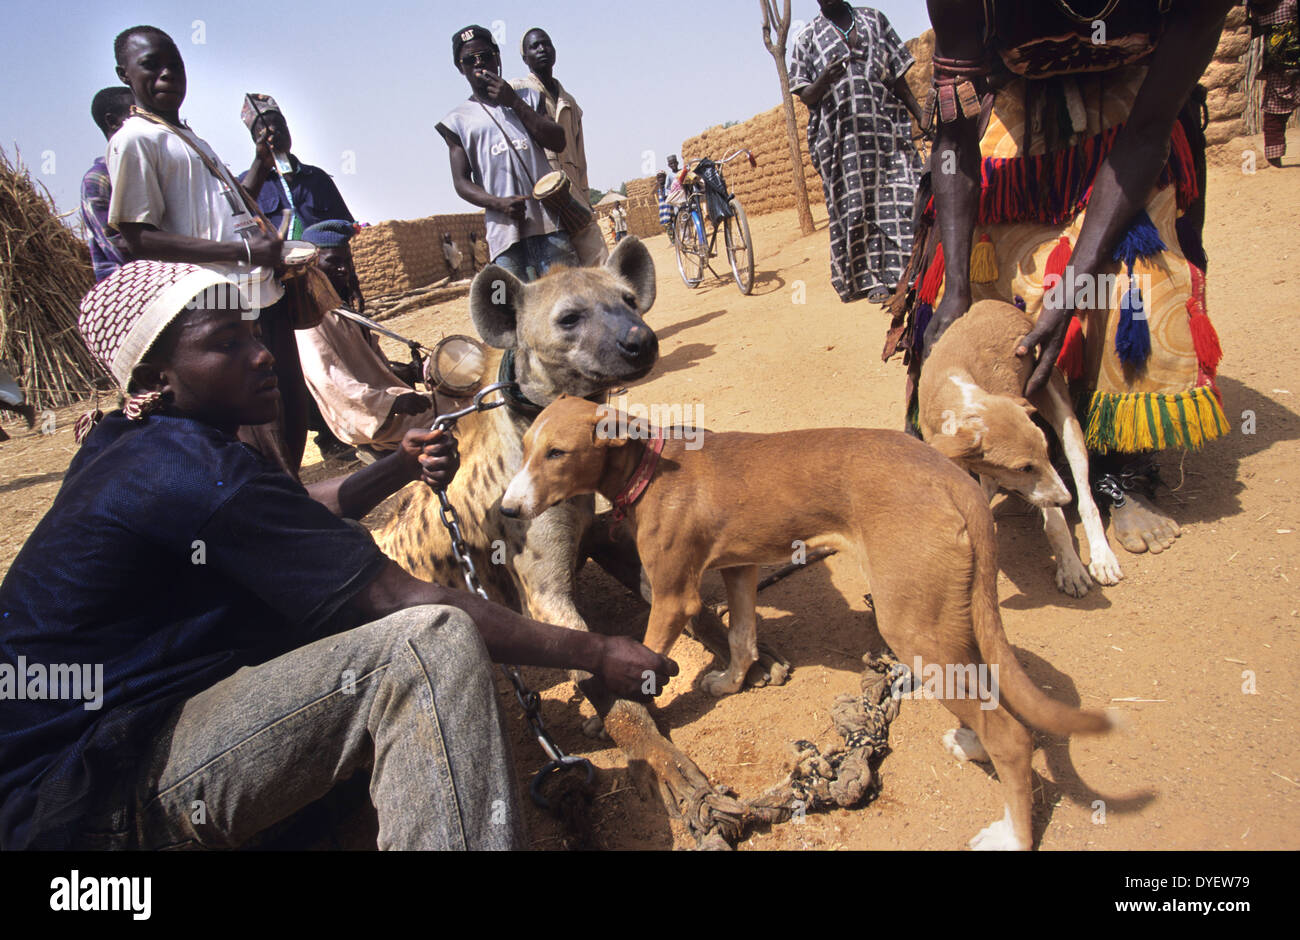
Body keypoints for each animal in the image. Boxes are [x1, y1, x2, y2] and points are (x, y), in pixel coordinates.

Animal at [920, 301, 1123, 595]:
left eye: (1046, 452)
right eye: (1023, 468)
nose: (1066, 499)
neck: (958, 392)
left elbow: (1056, 522)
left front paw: (1072, 568)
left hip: (1061, 411)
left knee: (1086, 498)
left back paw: (1101, 557)